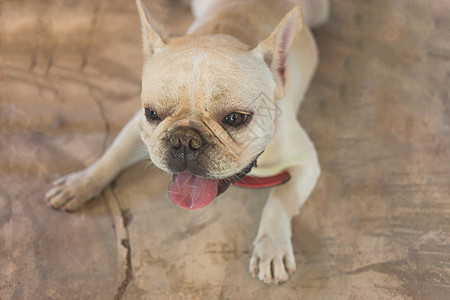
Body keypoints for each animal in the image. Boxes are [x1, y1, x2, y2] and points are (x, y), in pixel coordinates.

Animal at [44, 0, 328, 284]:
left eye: (235, 118)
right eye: (152, 113)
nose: (185, 139)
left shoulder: (306, 161)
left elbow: (280, 199)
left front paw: (272, 247)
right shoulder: (137, 126)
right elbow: (113, 155)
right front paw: (80, 183)